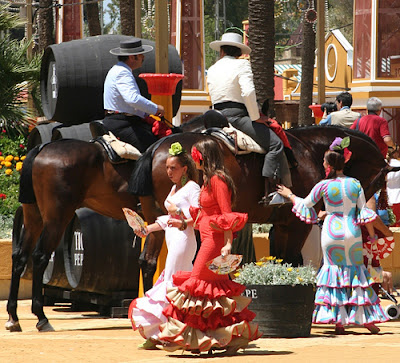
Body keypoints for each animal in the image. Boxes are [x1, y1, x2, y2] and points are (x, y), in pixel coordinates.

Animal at [6, 125, 396, 332]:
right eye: (380, 180)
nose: (373, 216)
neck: (305, 152)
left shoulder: (281, 224)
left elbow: (285, 263)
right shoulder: (292, 223)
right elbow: (292, 263)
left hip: (38, 215)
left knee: (22, 257)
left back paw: (14, 317)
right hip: (57, 216)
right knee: (39, 257)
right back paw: (39, 317)